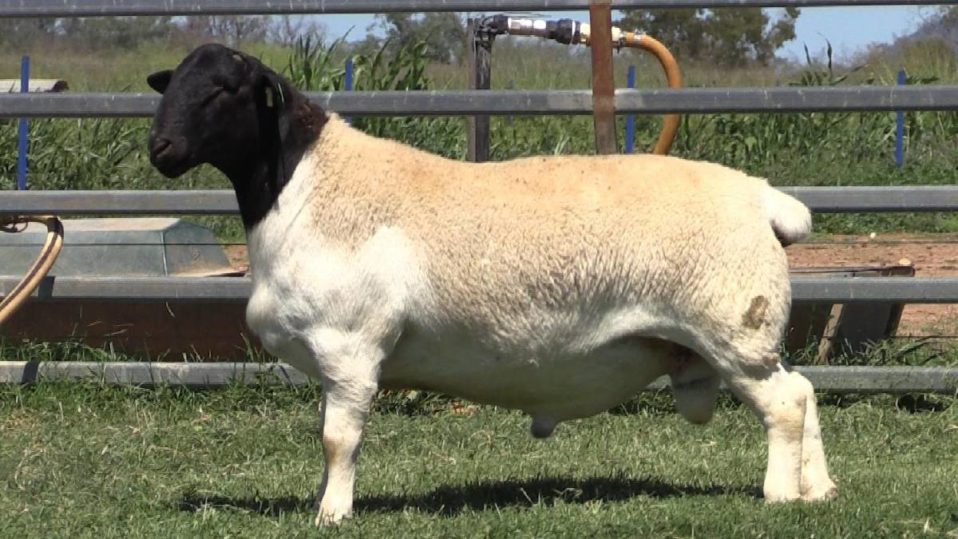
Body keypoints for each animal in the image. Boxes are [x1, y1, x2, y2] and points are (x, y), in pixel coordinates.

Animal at [146, 43, 837, 526]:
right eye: (170, 84)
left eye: (225, 89)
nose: (160, 147)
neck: (309, 185)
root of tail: (763, 199)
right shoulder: (335, 358)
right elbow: (328, 437)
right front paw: (324, 500)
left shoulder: (351, 345)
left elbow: (338, 439)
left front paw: (332, 514)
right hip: (743, 333)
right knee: (803, 391)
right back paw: (819, 489)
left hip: (731, 323)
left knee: (784, 404)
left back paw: (780, 494)